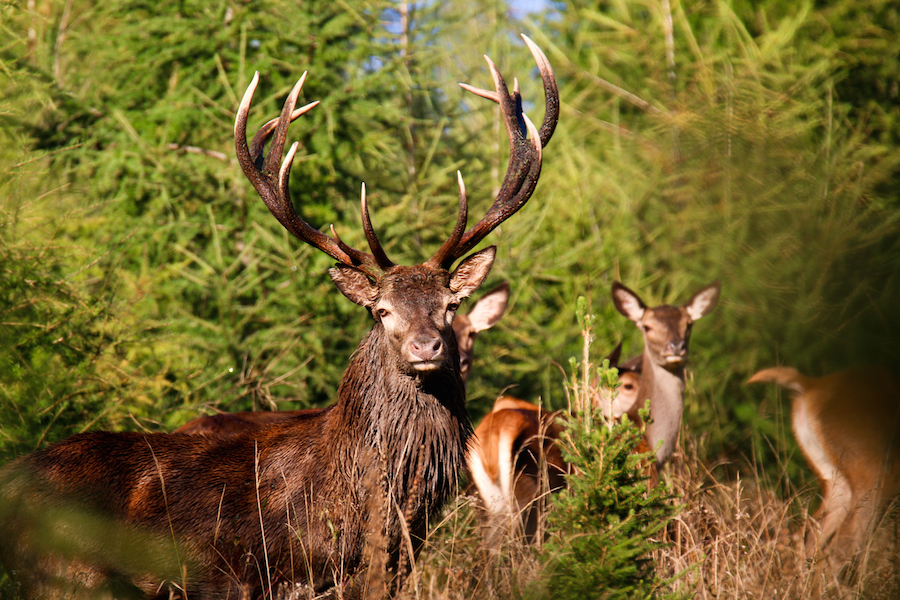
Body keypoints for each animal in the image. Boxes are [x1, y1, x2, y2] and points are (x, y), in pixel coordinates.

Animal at [0, 38, 560, 600]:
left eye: (450, 304)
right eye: (380, 311)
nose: (427, 346)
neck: (378, 511)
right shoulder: (274, 575)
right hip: (66, 570)